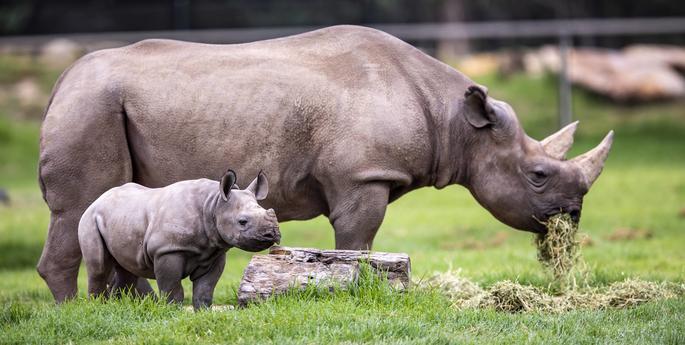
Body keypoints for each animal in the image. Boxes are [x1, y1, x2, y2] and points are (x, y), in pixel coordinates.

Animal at [75, 171, 278, 308]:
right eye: (242, 222)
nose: (272, 234)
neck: (213, 205)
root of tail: (98, 199)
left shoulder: (214, 252)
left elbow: (205, 290)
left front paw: (203, 312)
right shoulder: (167, 250)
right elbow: (172, 289)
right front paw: (173, 312)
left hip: (122, 217)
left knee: (127, 270)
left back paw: (118, 308)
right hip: (90, 219)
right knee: (99, 267)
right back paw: (98, 307)